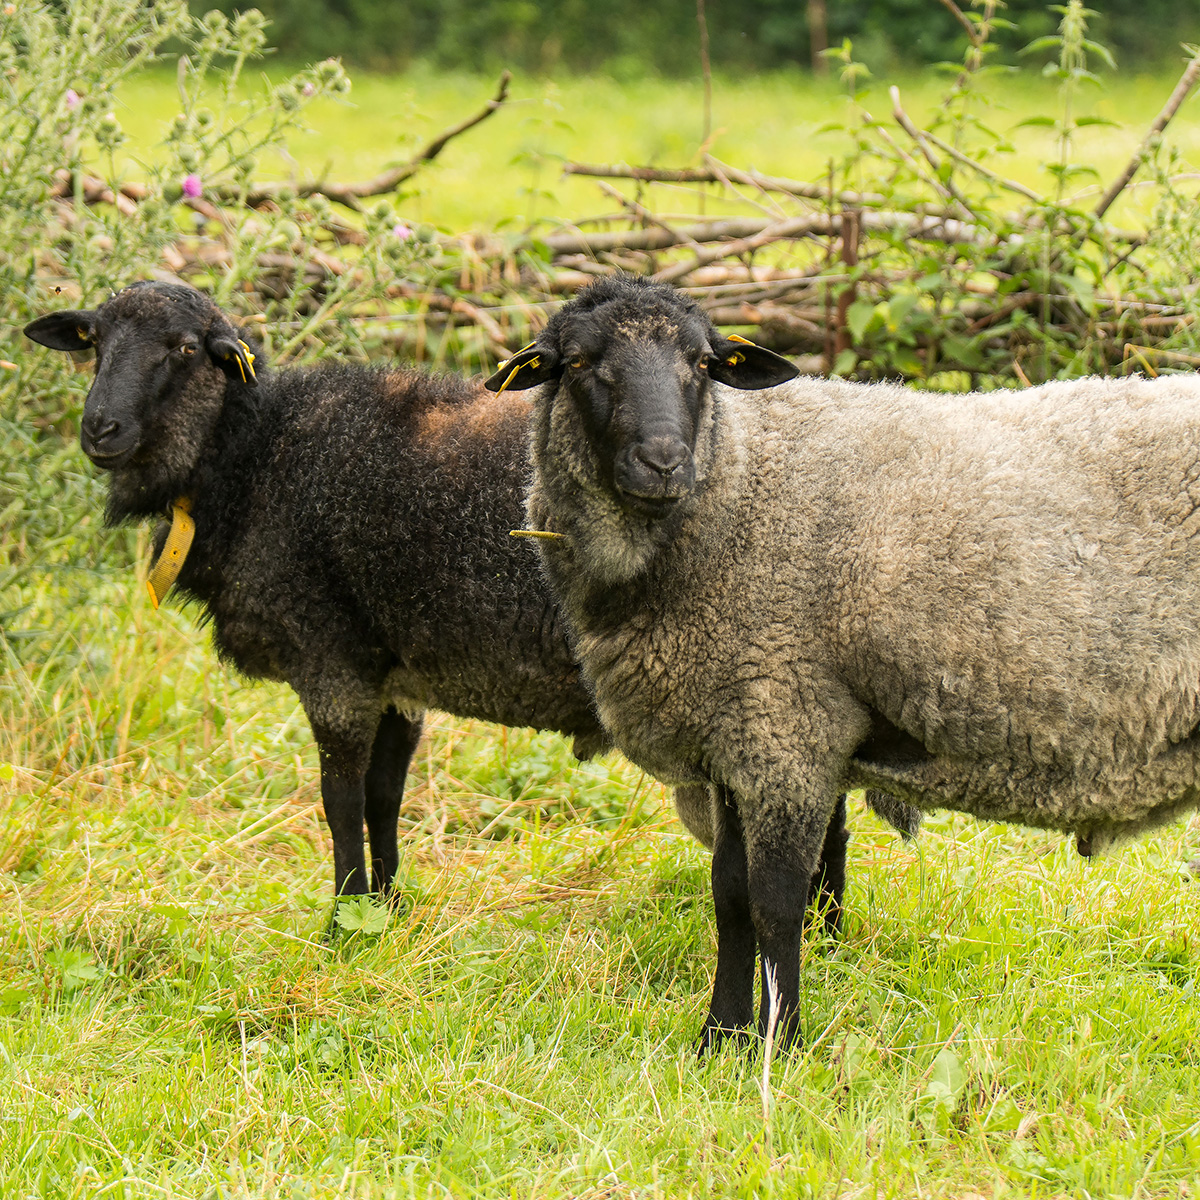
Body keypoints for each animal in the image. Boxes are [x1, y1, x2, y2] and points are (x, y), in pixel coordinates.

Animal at [492, 274, 1200, 1051]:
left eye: (703, 363)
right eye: (578, 364)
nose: (663, 461)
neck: (737, 488)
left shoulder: (787, 728)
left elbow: (776, 903)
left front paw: (781, 1044)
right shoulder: (736, 740)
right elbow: (729, 897)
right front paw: (719, 1040)